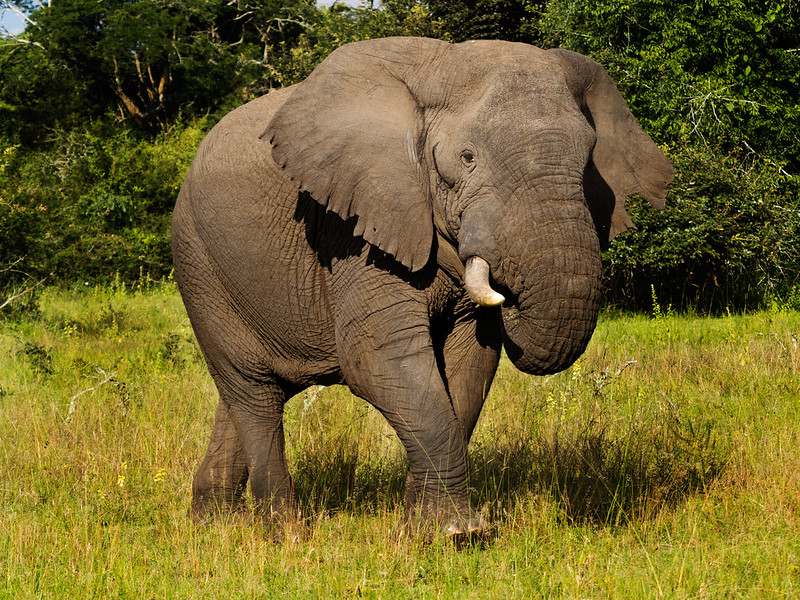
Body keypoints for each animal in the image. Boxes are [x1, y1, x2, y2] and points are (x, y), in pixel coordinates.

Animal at [172, 36, 673, 539]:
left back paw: (211, 524)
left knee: (246, 395)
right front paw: (458, 533)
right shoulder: (354, 226)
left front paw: (422, 528)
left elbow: (470, 363)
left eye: (589, 160)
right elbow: (376, 357)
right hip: (199, 266)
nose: (511, 291)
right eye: (467, 157)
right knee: (255, 394)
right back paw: (284, 534)